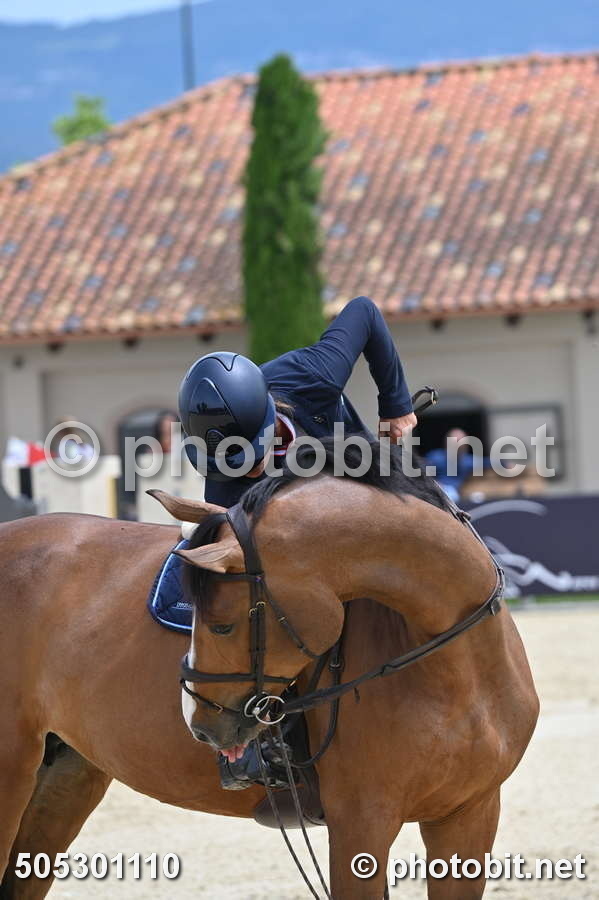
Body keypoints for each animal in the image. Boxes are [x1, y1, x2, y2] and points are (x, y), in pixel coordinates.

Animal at [0, 441, 538, 899]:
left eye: (220, 625)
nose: (201, 726)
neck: (458, 672)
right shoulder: (361, 823)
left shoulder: (469, 816)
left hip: (66, 776)